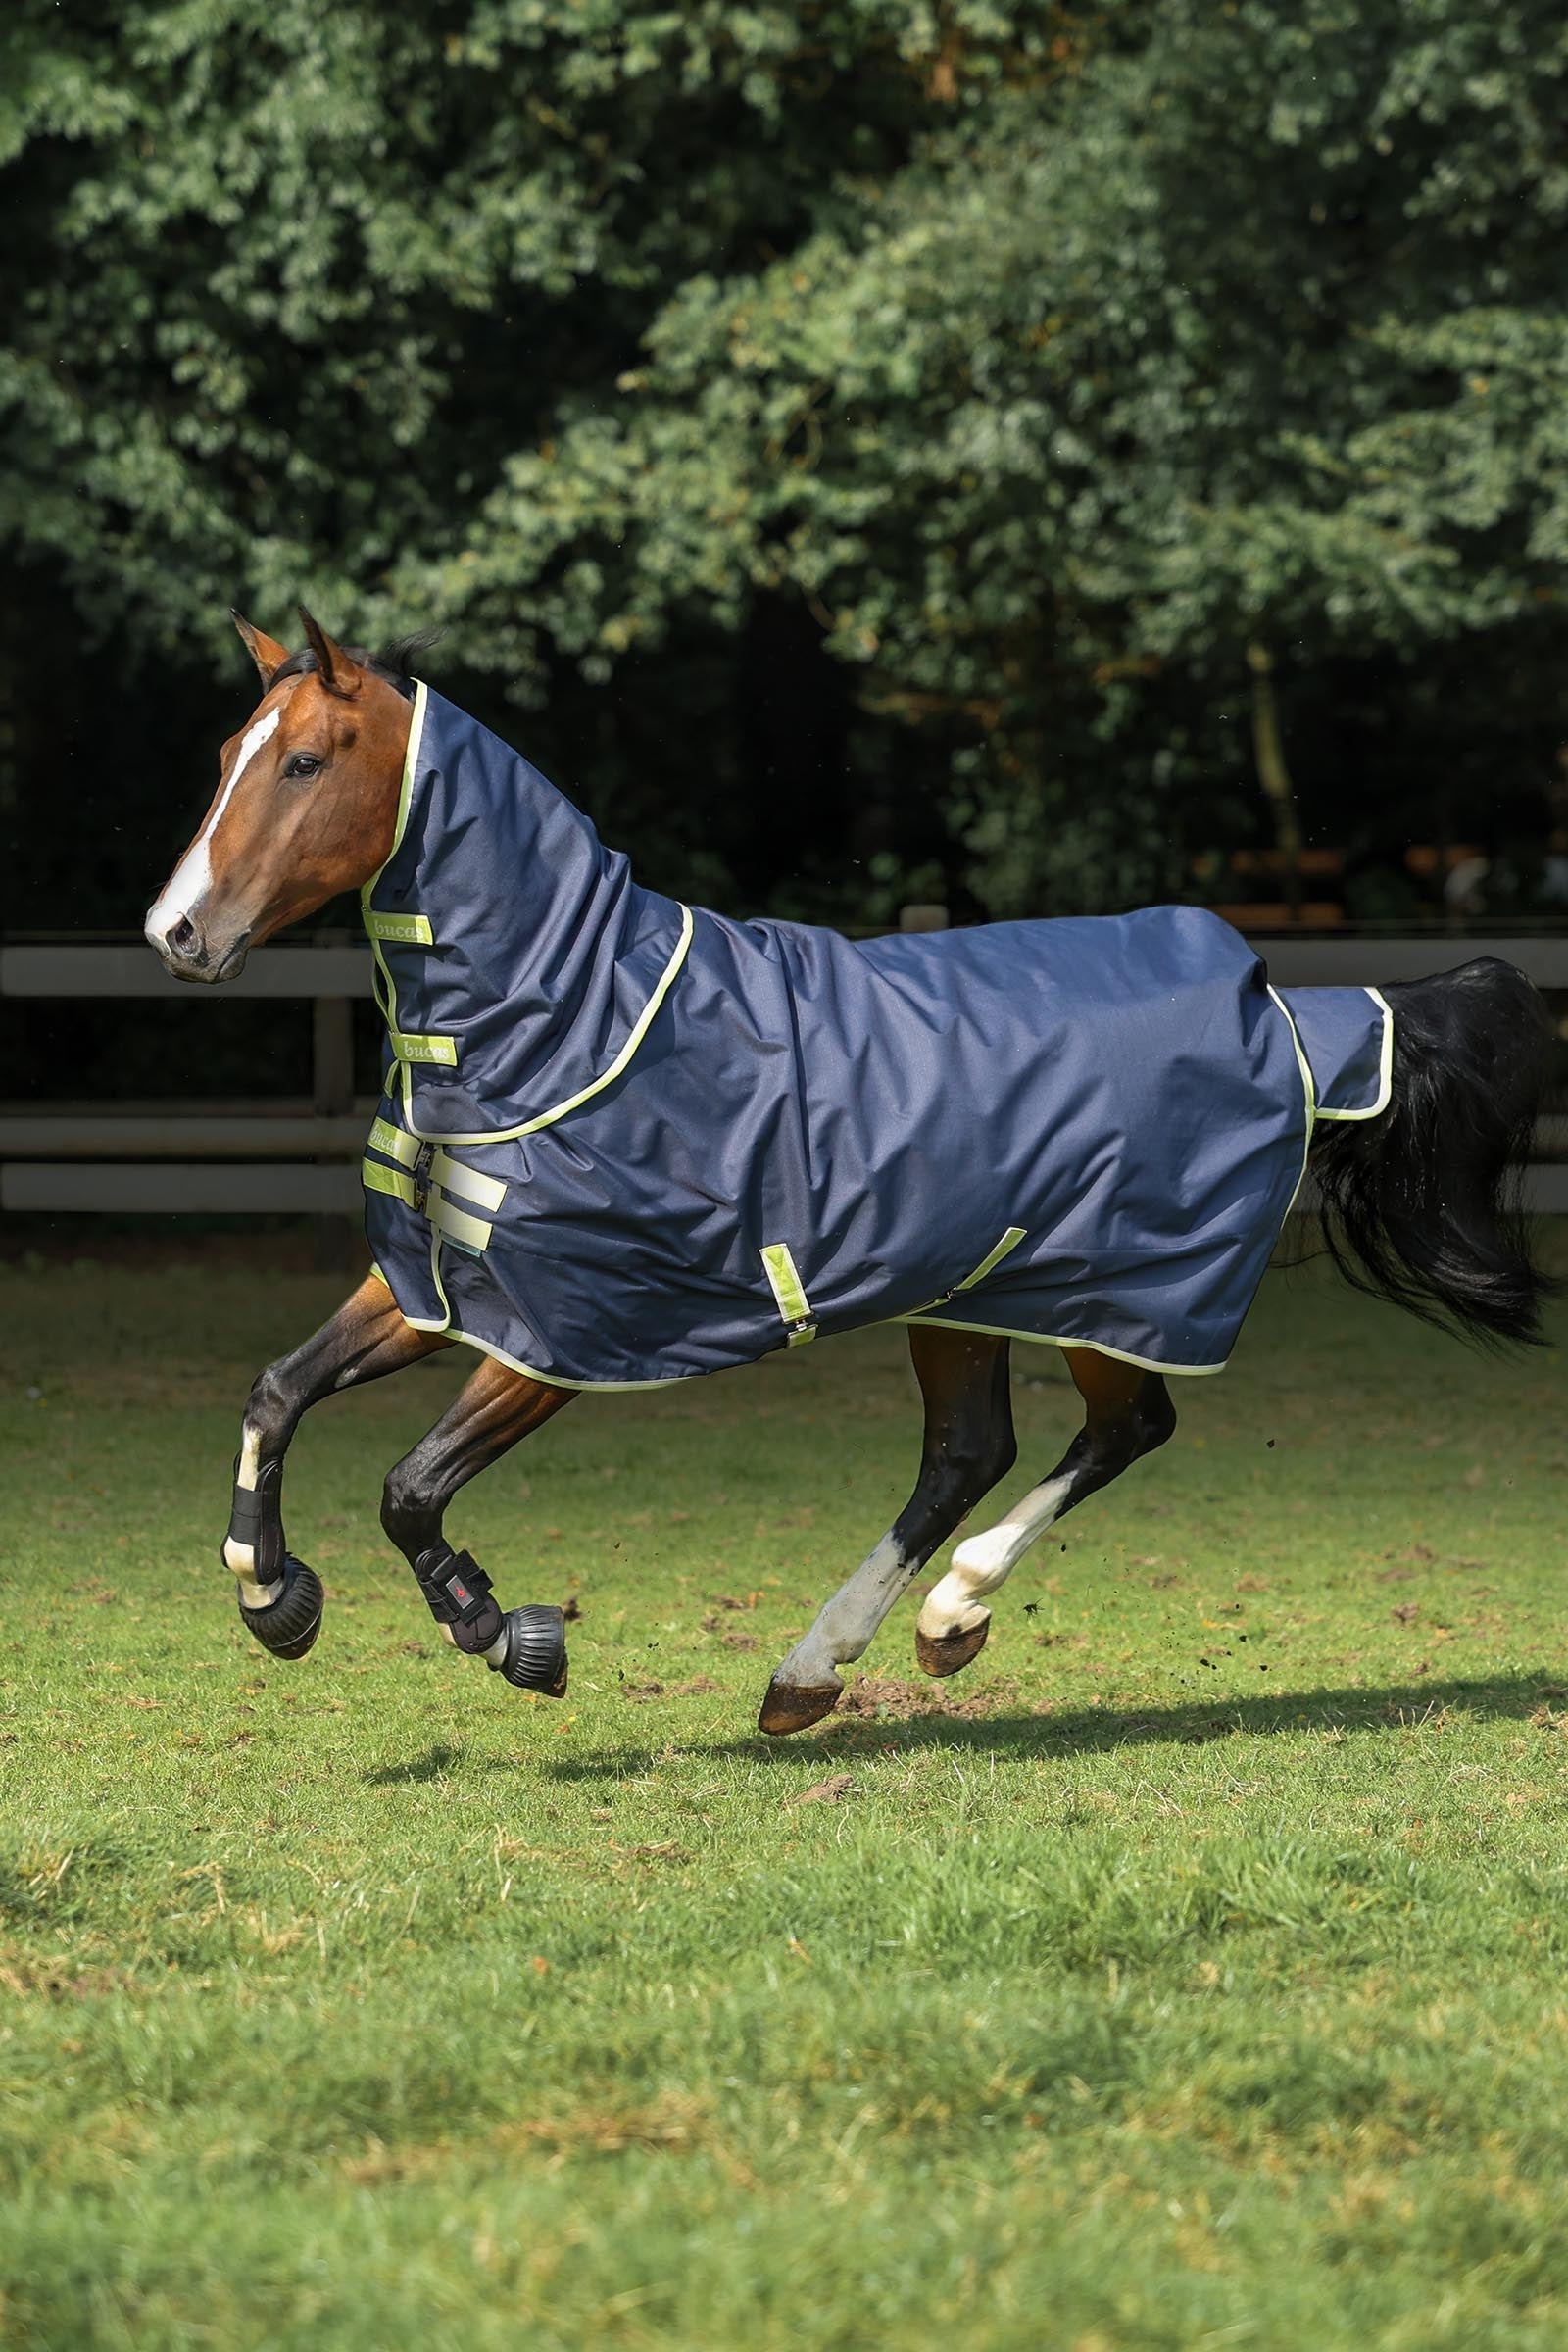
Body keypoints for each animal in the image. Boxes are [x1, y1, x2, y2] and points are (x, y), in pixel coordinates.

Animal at [144, 610, 1555, 1736]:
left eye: (306, 761)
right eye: (220, 760)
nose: (177, 934)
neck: (572, 1016)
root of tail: (1282, 1007)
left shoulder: (566, 1331)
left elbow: (408, 1491)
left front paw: (511, 1639)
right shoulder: (441, 1288)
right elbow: (277, 1393)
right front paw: (274, 1599)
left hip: (1109, 1291)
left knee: (1119, 1431)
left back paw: (942, 1616)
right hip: (968, 1293)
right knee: (970, 1451)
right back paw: (820, 1672)